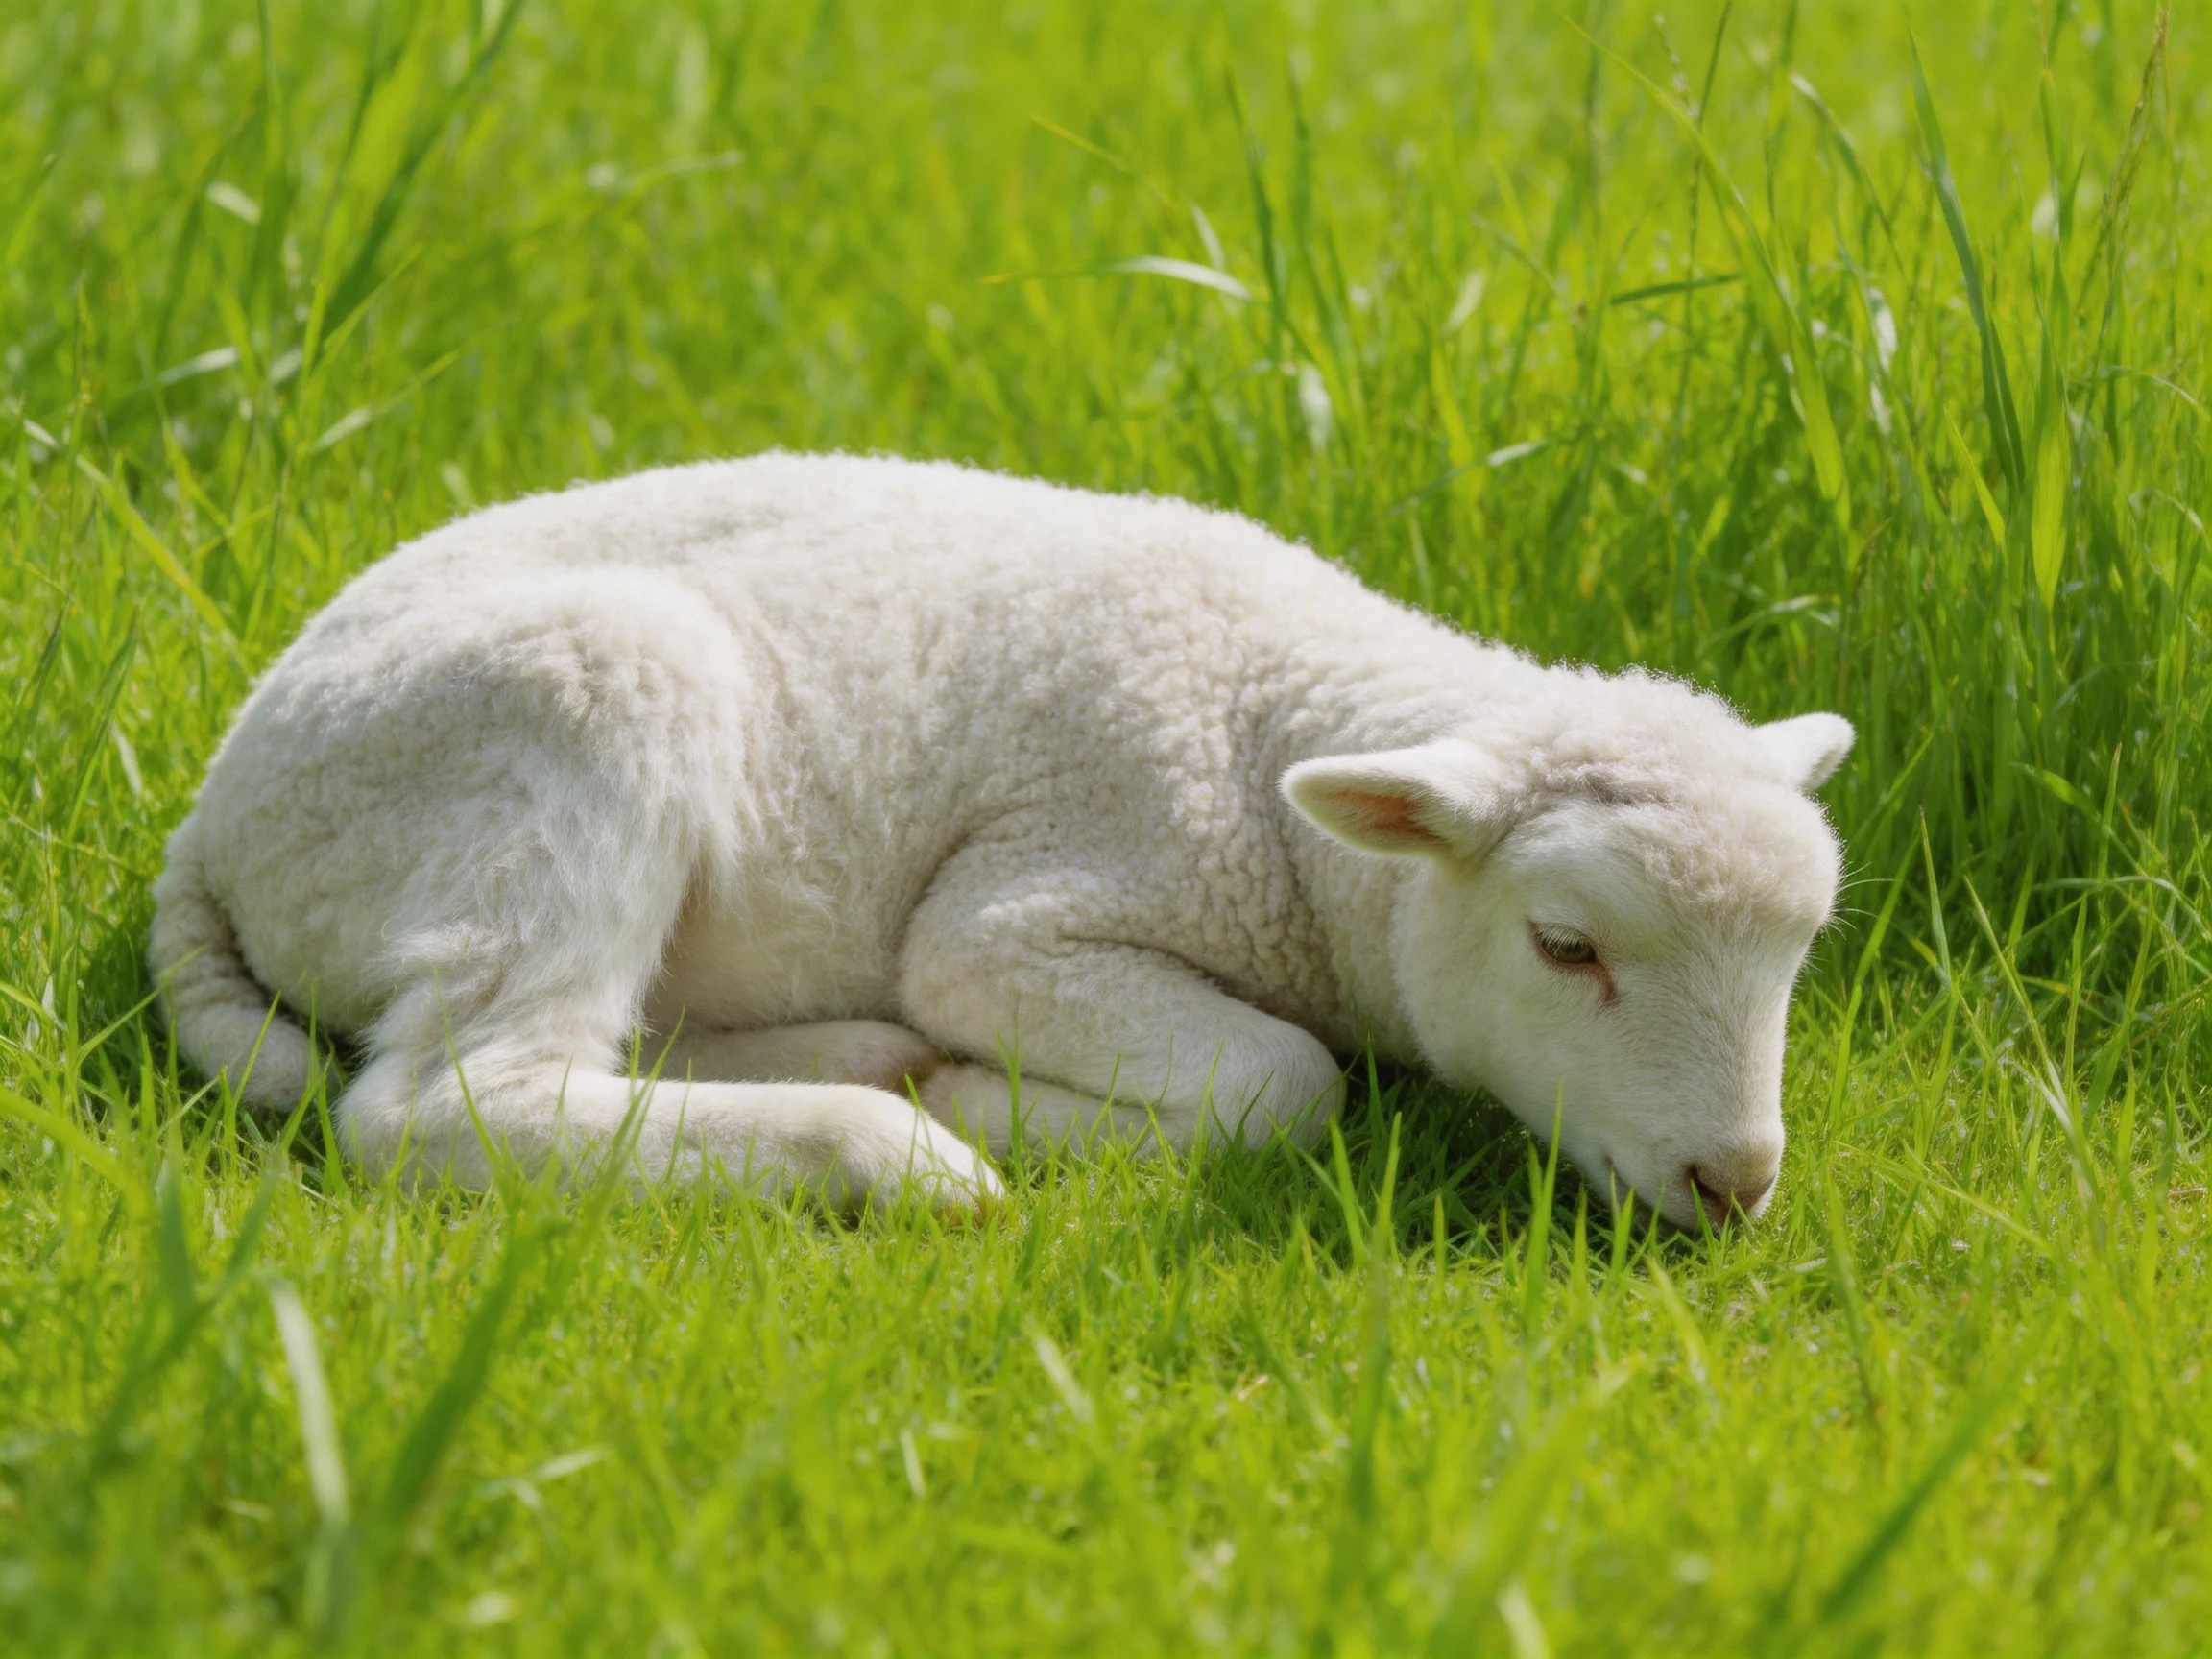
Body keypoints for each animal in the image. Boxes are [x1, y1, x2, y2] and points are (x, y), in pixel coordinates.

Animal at [150, 452, 1851, 1226]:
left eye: (1797, 961)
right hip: (567, 721)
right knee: (441, 1103)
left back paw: (847, 1063)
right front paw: (991, 1093)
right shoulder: (1032, 915)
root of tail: (219, 811)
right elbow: (1284, 1085)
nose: (1735, 1182)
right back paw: (892, 1145)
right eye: (1566, 946)